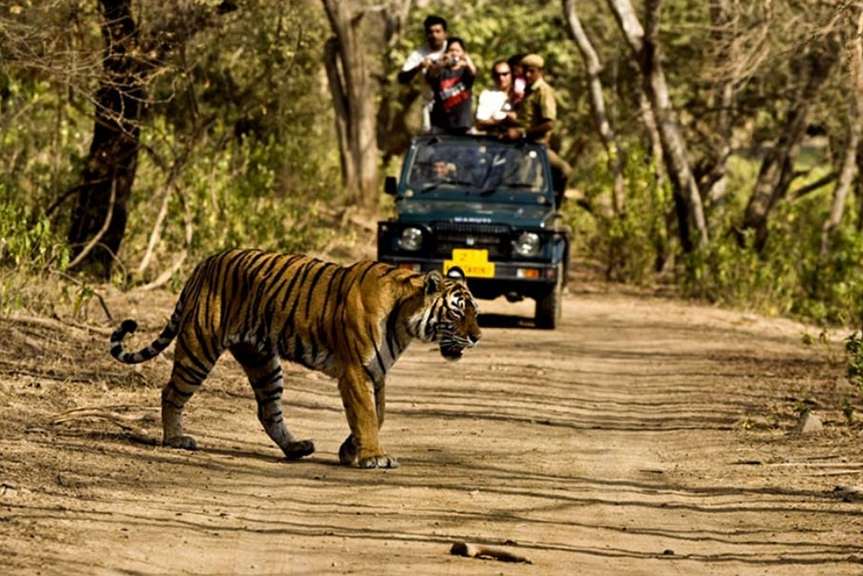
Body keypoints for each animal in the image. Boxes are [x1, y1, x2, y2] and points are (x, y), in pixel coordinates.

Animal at [109, 248, 480, 468]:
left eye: (475, 311)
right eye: (457, 311)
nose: (477, 336)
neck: (405, 320)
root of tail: (205, 262)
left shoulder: (377, 373)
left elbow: (378, 414)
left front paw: (351, 451)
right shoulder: (356, 370)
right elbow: (365, 415)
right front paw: (373, 456)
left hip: (263, 362)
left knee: (267, 411)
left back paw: (296, 447)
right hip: (200, 346)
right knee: (171, 392)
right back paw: (176, 439)